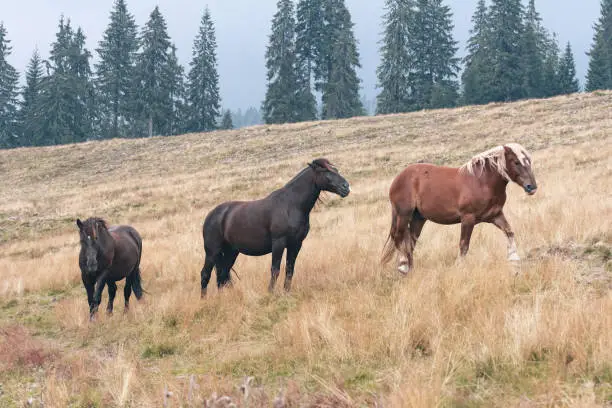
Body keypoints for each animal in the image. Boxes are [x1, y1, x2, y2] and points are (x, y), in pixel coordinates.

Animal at [201, 158, 350, 294]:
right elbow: (275, 269)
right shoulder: (278, 243)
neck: (291, 205)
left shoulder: (296, 244)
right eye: (325, 171)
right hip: (212, 252)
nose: (346, 187)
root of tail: (211, 215)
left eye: (336, 170)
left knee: (222, 275)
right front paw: (271, 293)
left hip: (231, 251)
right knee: (205, 274)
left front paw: (286, 292)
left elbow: (289, 270)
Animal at [380, 143, 536, 274]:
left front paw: (514, 258)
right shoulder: (468, 218)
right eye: (516, 162)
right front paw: (459, 266)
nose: (532, 187)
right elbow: (464, 245)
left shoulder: (495, 215)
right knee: (398, 237)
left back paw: (410, 269)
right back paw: (403, 265)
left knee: (410, 242)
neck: (482, 181)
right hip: (403, 214)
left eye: (529, 161)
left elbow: (509, 232)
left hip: (418, 218)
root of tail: (398, 178)